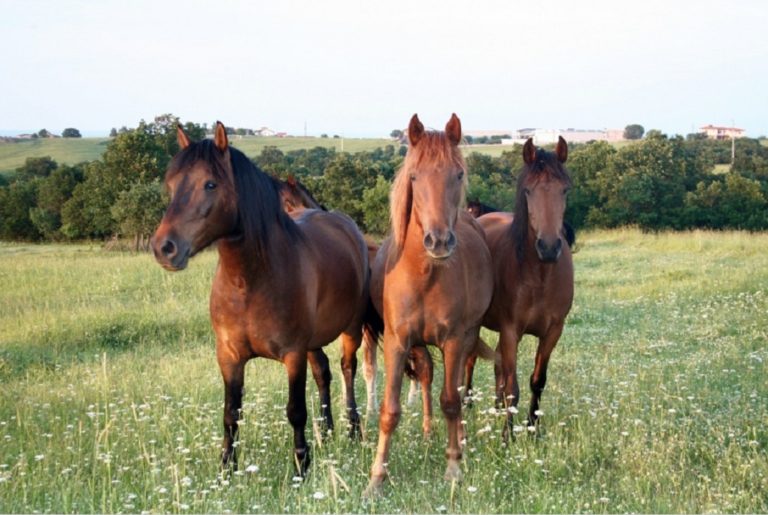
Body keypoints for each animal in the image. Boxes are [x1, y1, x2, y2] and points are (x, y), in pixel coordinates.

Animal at [151, 123, 372, 478]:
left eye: (210, 184)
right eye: (172, 184)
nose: (164, 248)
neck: (249, 283)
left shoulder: (293, 354)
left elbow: (295, 410)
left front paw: (301, 465)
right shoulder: (228, 357)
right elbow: (231, 413)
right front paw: (227, 469)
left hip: (351, 329)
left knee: (347, 369)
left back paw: (353, 430)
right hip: (313, 343)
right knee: (323, 372)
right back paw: (327, 432)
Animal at [364, 115, 496, 498]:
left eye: (459, 174)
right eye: (414, 176)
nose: (438, 241)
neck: (425, 275)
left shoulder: (453, 340)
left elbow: (450, 400)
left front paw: (453, 468)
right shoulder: (397, 342)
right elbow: (390, 411)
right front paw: (376, 479)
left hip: (468, 336)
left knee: (458, 384)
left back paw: (460, 440)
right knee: (425, 374)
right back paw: (425, 431)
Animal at [484, 136, 572, 436]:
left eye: (564, 190)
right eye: (528, 191)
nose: (549, 247)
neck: (540, 277)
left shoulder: (553, 331)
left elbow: (537, 380)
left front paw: (533, 429)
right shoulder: (512, 331)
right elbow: (513, 386)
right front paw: (506, 437)